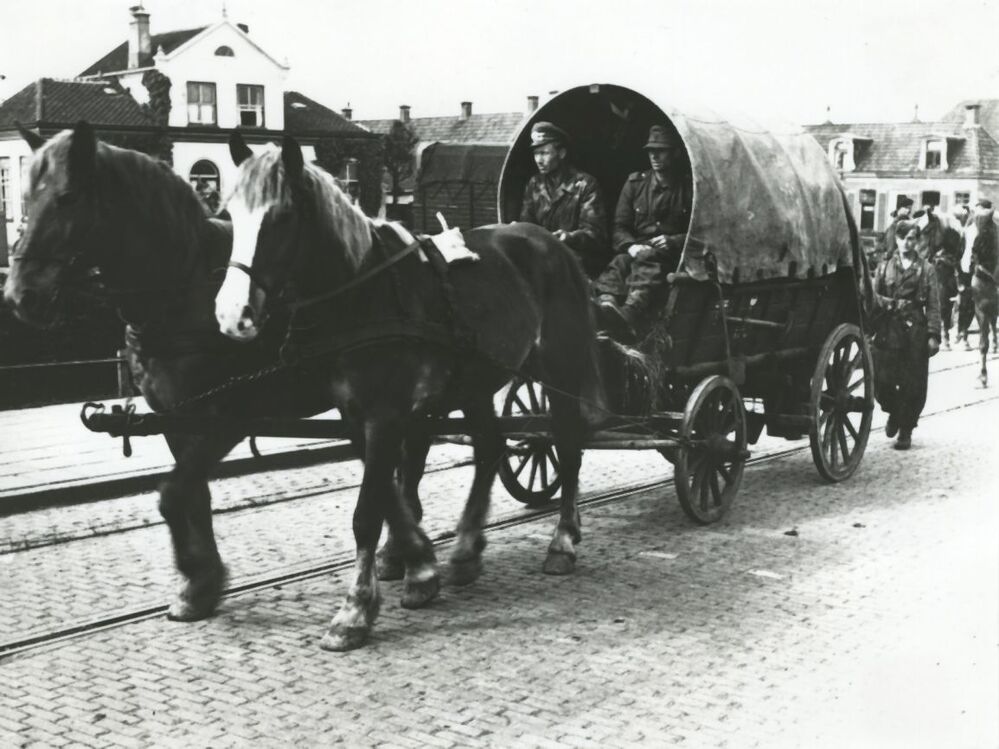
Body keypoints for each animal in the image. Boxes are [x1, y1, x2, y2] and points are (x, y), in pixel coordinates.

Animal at [2, 121, 337, 622]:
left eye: (68, 197)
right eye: (24, 196)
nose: (20, 295)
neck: (183, 289)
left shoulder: (227, 416)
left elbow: (173, 494)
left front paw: (199, 578)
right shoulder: (176, 416)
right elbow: (192, 494)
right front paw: (200, 583)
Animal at [214, 132, 605, 651]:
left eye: (280, 218)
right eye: (229, 213)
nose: (231, 314)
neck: (365, 292)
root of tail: (552, 242)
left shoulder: (385, 413)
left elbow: (369, 510)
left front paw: (355, 610)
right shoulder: (359, 415)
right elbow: (391, 495)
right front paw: (416, 565)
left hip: (561, 368)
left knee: (568, 445)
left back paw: (562, 541)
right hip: (476, 380)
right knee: (490, 448)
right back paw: (465, 551)